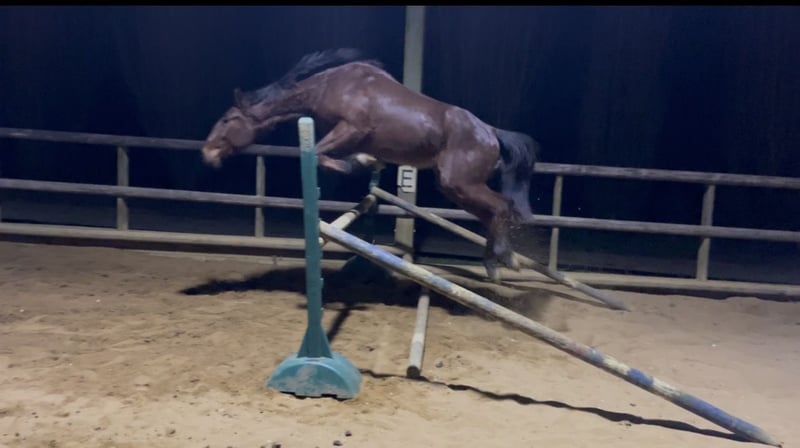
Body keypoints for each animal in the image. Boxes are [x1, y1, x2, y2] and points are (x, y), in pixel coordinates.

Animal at [201, 48, 541, 282]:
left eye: (228, 119)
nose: (207, 152)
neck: (329, 86)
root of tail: (491, 132)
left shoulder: (351, 128)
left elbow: (320, 155)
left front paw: (359, 165)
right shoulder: (348, 137)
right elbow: (333, 156)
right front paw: (366, 162)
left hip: (460, 183)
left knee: (502, 206)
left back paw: (507, 259)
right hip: (455, 188)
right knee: (491, 214)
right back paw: (493, 265)